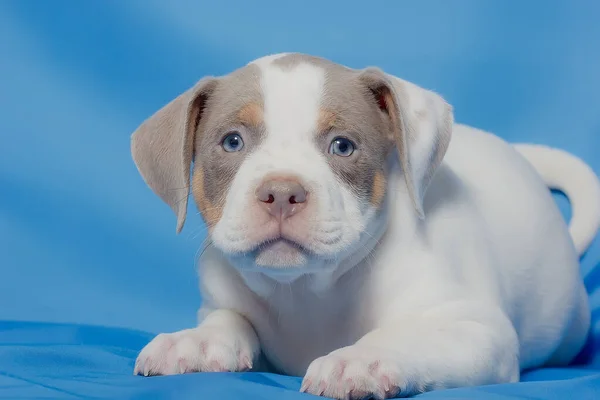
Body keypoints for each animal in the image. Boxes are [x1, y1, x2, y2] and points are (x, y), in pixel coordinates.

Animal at [131, 54, 600, 400]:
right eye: (232, 141)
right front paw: (193, 341)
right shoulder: (222, 300)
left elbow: (407, 335)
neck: (307, 291)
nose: (281, 192)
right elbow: (227, 320)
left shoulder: (479, 329)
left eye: (343, 146)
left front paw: (360, 358)